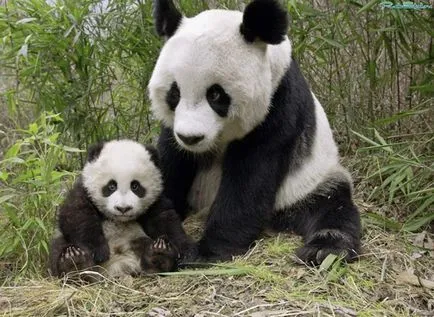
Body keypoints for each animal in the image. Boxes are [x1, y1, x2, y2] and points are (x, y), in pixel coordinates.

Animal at [147, 0, 362, 264]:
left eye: (215, 94)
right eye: (174, 93)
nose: (191, 138)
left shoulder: (278, 106)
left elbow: (250, 179)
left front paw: (207, 252)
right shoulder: (174, 129)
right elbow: (171, 162)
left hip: (309, 182)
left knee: (332, 207)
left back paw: (324, 249)